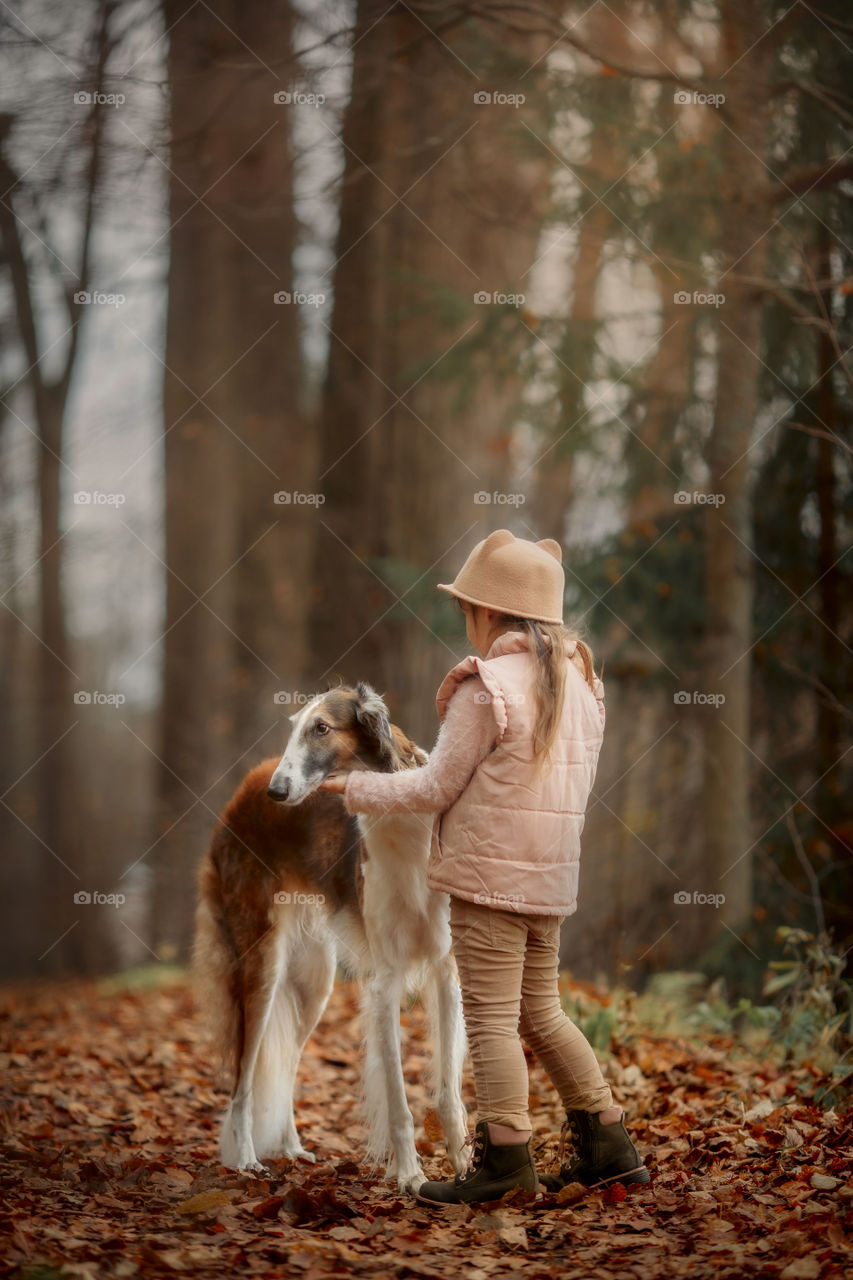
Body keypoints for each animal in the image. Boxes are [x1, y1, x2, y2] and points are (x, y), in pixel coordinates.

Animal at [194, 686, 466, 1192]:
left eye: (322, 727)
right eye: (295, 727)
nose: (278, 792)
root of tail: (246, 787)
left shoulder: (446, 971)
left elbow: (448, 1091)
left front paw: (464, 1166)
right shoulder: (385, 983)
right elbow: (398, 1102)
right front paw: (410, 1176)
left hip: (313, 983)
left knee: (285, 1066)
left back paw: (291, 1148)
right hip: (261, 964)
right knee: (243, 1082)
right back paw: (246, 1161)